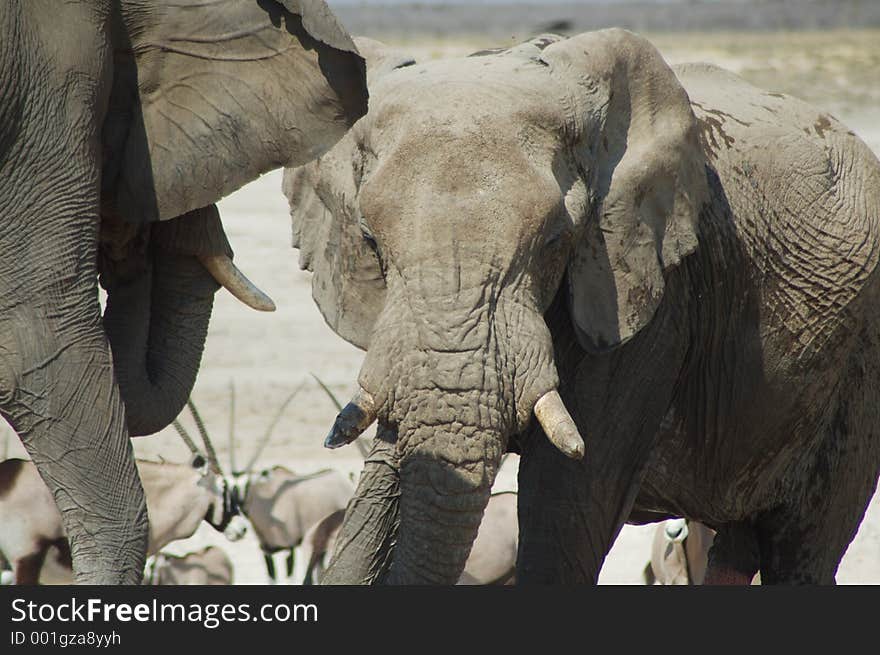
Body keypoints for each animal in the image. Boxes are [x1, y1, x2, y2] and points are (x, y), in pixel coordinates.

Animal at [282, 29, 880, 584]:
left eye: (555, 241)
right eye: (369, 240)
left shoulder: (648, 297)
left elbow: (565, 507)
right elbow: (381, 492)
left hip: (856, 370)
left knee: (801, 552)